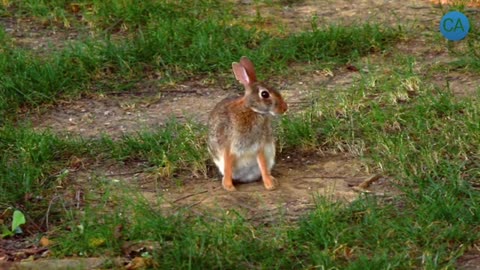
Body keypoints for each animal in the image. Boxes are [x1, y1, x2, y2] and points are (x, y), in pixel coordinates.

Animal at [207, 56, 288, 191]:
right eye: (264, 94)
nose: (284, 108)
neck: (251, 110)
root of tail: (247, 178)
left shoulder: (259, 146)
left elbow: (262, 165)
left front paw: (269, 185)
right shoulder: (228, 145)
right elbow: (228, 165)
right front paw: (229, 187)